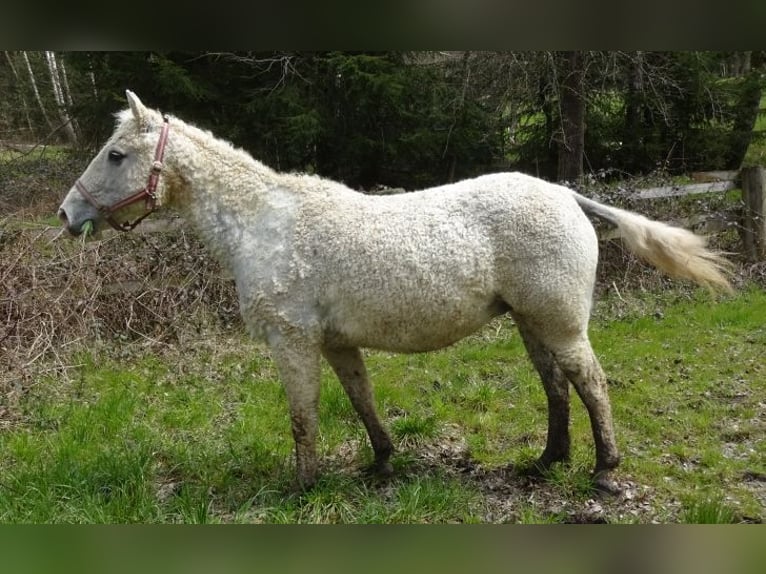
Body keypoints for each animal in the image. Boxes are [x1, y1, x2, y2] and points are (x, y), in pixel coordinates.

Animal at [58, 90, 732, 496]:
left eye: (115, 154)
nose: (67, 216)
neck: (266, 223)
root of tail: (566, 195)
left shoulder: (291, 342)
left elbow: (302, 418)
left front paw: (301, 487)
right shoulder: (334, 344)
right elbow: (361, 401)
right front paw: (381, 463)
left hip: (560, 322)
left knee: (590, 384)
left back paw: (604, 473)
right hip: (530, 322)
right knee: (556, 386)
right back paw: (547, 462)